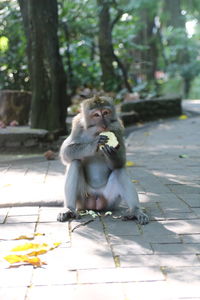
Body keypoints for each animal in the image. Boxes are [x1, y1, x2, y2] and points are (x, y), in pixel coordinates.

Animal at [57, 95, 149, 224]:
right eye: (96, 115)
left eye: (106, 113)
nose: (104, 124)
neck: (95, 132)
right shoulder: (77, 125)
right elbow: (65, 152)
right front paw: (93, 145)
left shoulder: (117, 127)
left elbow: (121, 161)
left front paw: (112, 154)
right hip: (82, 199)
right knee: (75, 162)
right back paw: (69, 209)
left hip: (110, 201)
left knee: (119, 170)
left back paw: (135, 211)